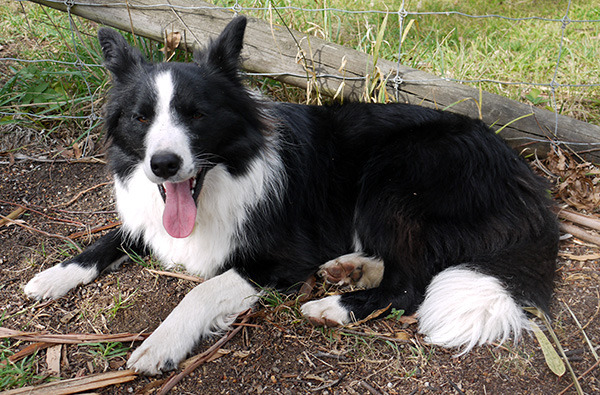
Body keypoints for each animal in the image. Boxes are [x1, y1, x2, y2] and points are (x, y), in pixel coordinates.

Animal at [22, 15, 556, 374]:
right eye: (140, 117)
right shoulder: (150, 218)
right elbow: (110, 238)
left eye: (197, 114)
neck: (224, 179)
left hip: (393, 178)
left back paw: (333, 306)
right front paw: (54, 275)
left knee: (410, 283)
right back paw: (349, 268)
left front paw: (162, 342)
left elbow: (201, 290)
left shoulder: (281, 258)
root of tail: (525, 179)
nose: (164, 165)